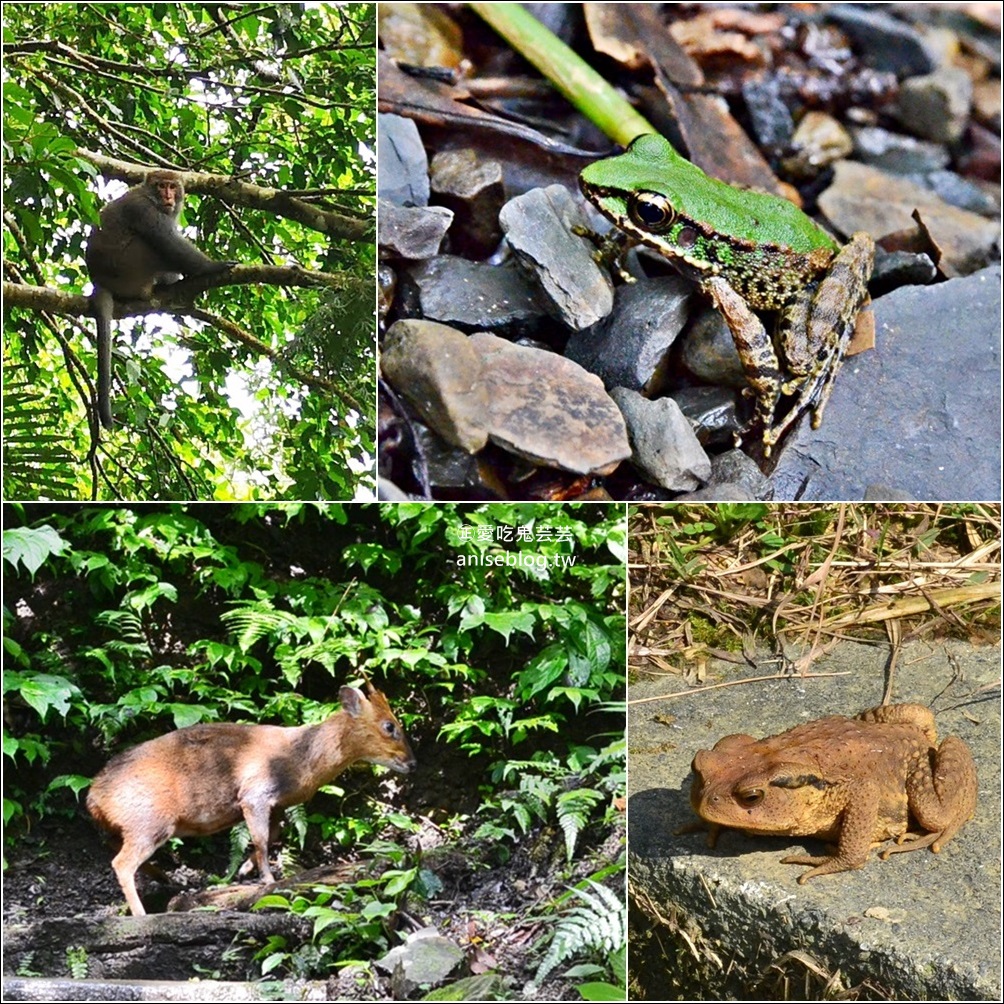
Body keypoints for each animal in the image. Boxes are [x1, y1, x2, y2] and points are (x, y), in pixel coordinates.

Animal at [85, 170, 233, 429]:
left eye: (173, 186)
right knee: (156, 244)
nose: (168, 196)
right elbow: (168, 241)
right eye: (162, 186)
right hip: (133, 266)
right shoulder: (142, 209)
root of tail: (99, 281)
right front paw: (211, 267)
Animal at [85, 682, 415, 919]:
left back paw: (164, 877)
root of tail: (93, 796)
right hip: (149, 822)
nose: (412, 763)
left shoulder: (278, 804)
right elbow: (261, 839)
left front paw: (244, 869)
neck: (301, 761)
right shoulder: (255, 793)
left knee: (114, 848)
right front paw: (266, 879)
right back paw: (142, 913)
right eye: (390, 726)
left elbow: (273, 834)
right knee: (121, 863)